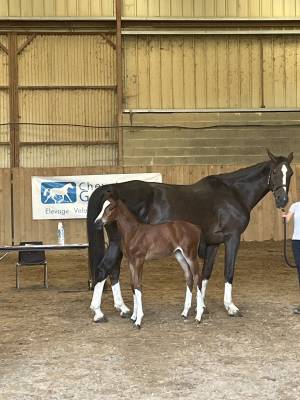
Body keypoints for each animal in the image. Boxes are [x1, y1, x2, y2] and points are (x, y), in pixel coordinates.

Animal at [97, 195, 205, 330]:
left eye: (110, 208)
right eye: (102, 207)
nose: (98, 222)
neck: (133, 232)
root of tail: (197, 228)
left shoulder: (139, 260)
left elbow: (138, 285)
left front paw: (138, 320)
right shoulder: (131, 262)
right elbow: (133, 284)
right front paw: (133, 316)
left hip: (190, 255)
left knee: (197, 277)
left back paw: (198, 316)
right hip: (180, 255)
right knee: (189, 277)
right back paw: (185, 313)